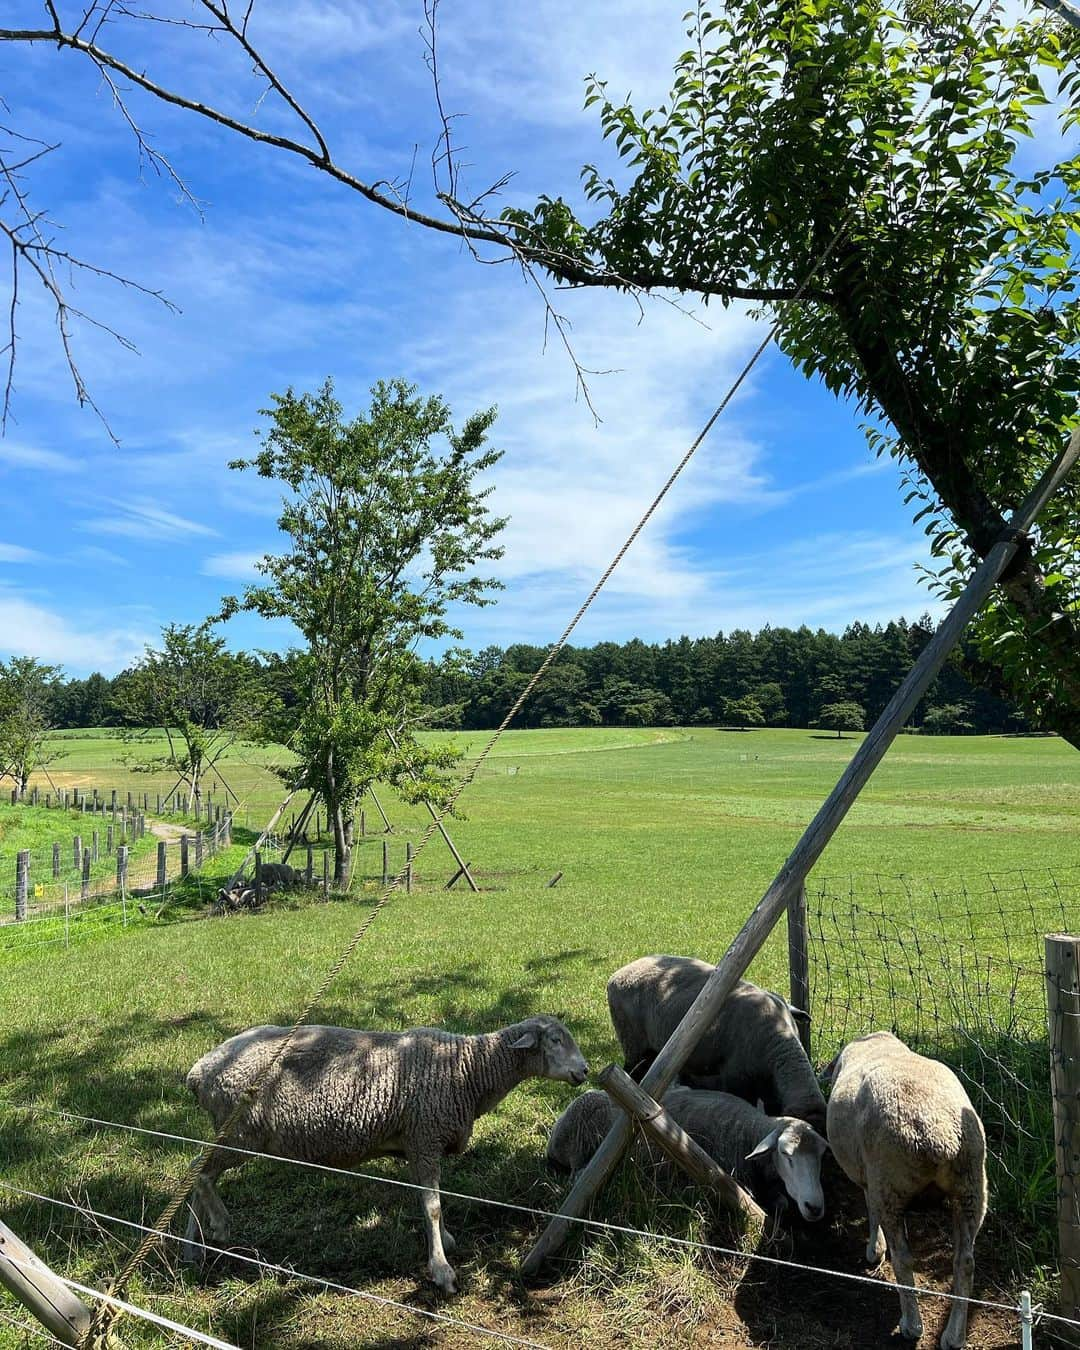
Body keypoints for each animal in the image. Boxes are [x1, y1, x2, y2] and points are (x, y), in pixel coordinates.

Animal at [186, 1015, 591, 1290]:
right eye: (556, 1039)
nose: (585, 1070)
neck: (468, 1069)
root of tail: (199, 1071)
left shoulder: (416, 1142)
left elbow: (428, 1201)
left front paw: (442, 1242)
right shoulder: (426, 1136)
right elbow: (433, 1204)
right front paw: (441, 1270)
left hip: (234, 1131)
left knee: (196, 1174)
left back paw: (194, 1247)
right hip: (241, 1131)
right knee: (198, 1170)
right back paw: (218, 1224)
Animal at [548, 1085, 826, 1225]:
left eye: (822, 1155)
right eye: (786, 1154)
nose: (814, 1207)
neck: (748, 1130)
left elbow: (782, 1203)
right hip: (580, 1152)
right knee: (576, 1177)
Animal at [826, 1031, 988, 1350]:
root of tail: (938, 1136)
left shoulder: (871, 1179)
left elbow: (870, 1211)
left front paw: (874, 1250)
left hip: (889, 1184)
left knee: (903, 1258)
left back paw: (911, 1325)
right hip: (972, 1186)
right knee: (965, 1262)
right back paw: (953, 1336)